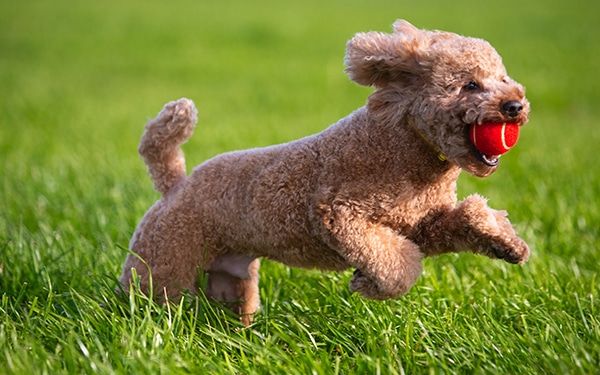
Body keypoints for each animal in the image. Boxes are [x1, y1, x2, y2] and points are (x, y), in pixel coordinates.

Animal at [118, 19, 528, 326]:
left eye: (504, 79)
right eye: (470, 84)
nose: (515, 105)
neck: (405, 147)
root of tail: (174, 186)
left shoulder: (423, 223)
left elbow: (468, 219)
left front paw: (507, 245)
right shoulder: (339, 213)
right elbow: (396, 268)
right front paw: (366, 284)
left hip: (230, 278)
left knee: (231, 305)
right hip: (163, 263)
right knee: (148, 300)